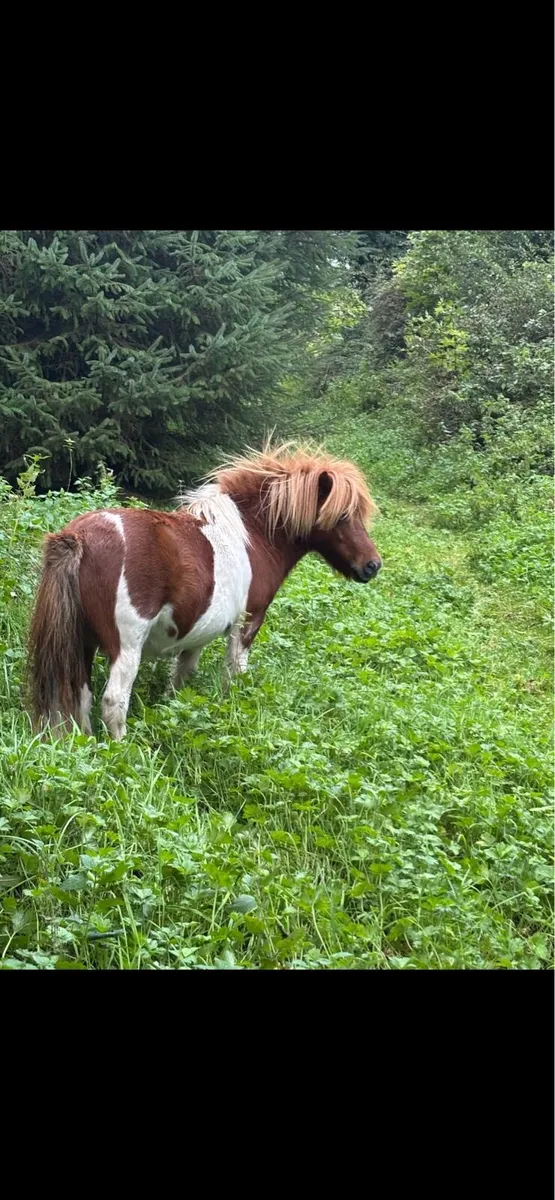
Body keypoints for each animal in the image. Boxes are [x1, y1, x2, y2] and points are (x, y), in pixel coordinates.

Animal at [27, 441, 382, 740]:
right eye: (343, 516)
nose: (372, 565)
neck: (253, 534)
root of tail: (80, 537)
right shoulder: (247, 623)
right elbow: (234, 675)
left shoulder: (197, 632)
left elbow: (181, 679)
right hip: (125, 647)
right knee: (114, 701)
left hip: (82, 643)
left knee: (81, 697)